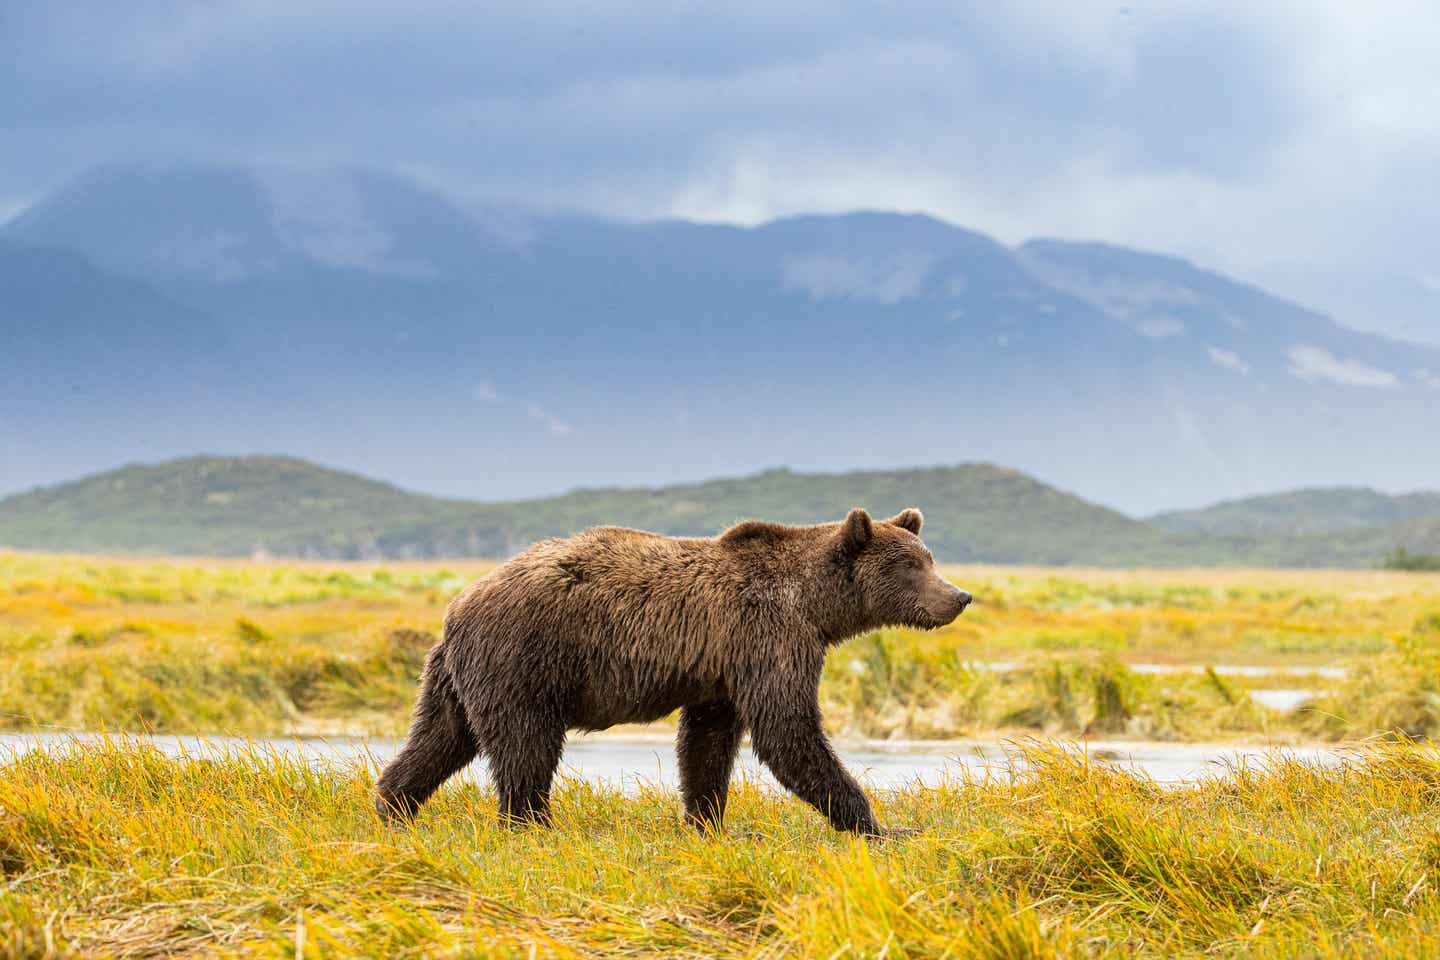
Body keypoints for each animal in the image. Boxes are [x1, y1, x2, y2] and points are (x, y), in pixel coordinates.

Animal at [377, 509, 973, 834]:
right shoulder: (769, 637)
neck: (816, 605)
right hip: (524, 660)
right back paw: (533, 824)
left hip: (456, 675)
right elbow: (788, 731)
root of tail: (457, 604)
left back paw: (392, 806)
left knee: (440, 738)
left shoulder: (725, 668)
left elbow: (708, 741)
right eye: (912, 565)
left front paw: (707, 821)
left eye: (930, 558)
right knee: (527, 747)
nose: (960, 596)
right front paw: (881, 825)